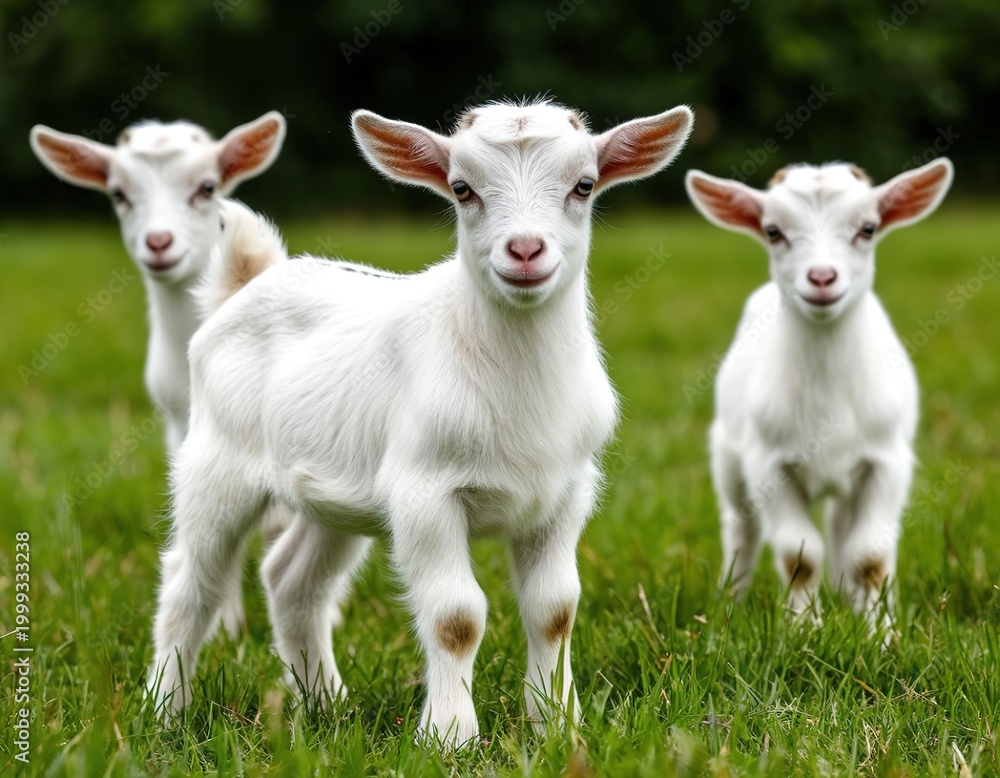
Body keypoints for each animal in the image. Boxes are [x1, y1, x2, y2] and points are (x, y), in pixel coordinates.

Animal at [147, 100, 694, 746]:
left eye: (584, 185)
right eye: (462, 189)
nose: (525, 251)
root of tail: (242, 287)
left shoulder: (564, 493)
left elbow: (554, 610)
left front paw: (559, 726)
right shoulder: (425, 494)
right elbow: (456, 617)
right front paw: (450, 737)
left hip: (335, 492)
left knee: (291, 580)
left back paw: (325, 705)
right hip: (217, 465)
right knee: (190, 583)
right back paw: (165, 711)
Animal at [685, 158, 953, 624]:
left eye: (868, 228)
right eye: (773, 231)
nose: (822, 277)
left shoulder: (886, 461)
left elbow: (869, 555)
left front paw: (879, 630)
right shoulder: (768, 463)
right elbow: (799, 555)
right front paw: (804, 629)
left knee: (843, 531)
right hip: (728, 457)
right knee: (741, 529)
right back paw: (728, 605)